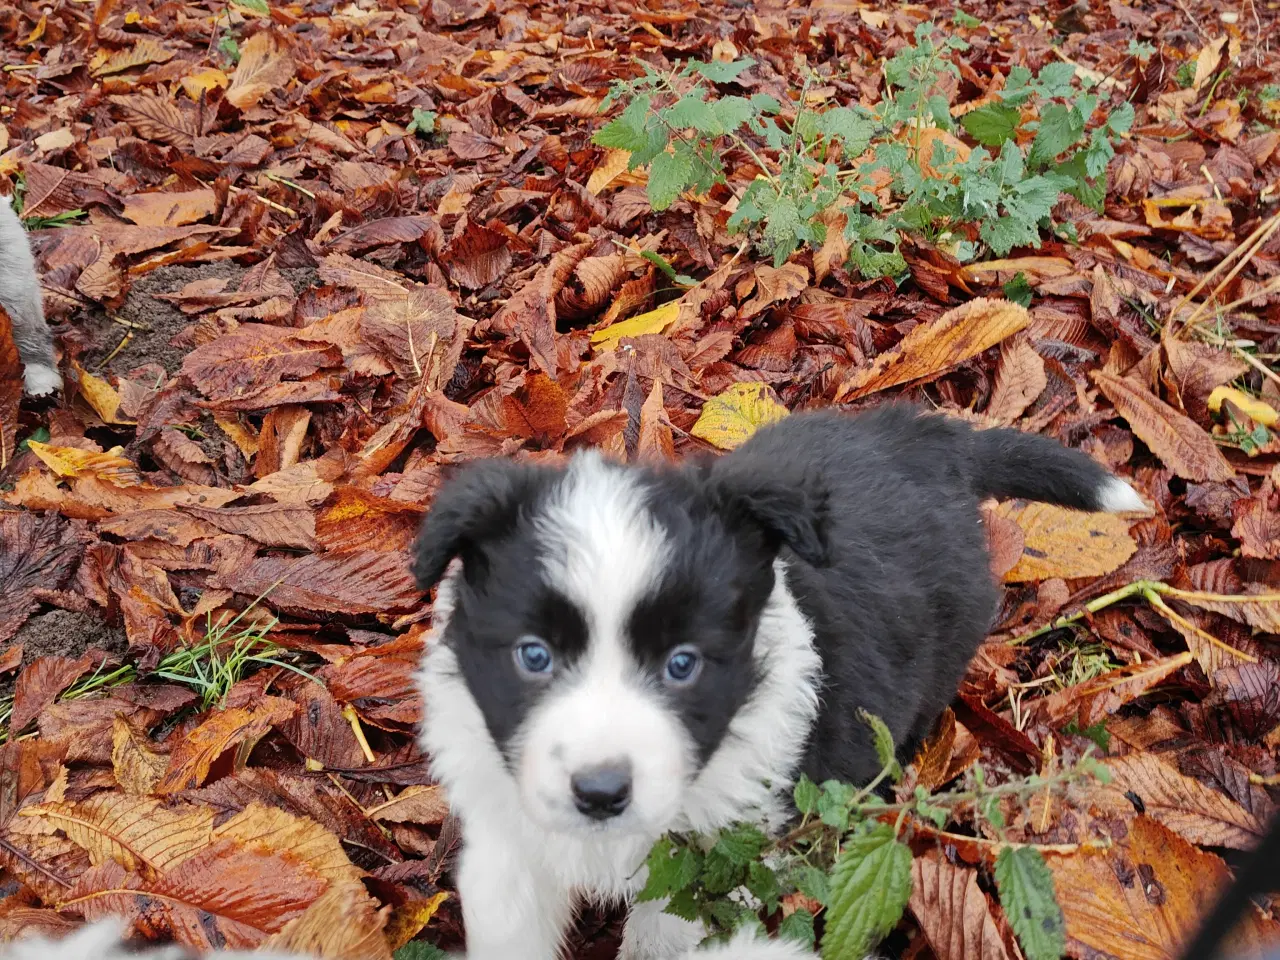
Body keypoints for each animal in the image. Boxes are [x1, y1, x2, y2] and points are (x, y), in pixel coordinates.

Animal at [414, 407, 1146, 960]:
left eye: (683, 664)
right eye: (533, 656)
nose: (599, 793)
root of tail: (937, 440)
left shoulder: (710, 863)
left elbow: (662, 939)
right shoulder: (508, 838)